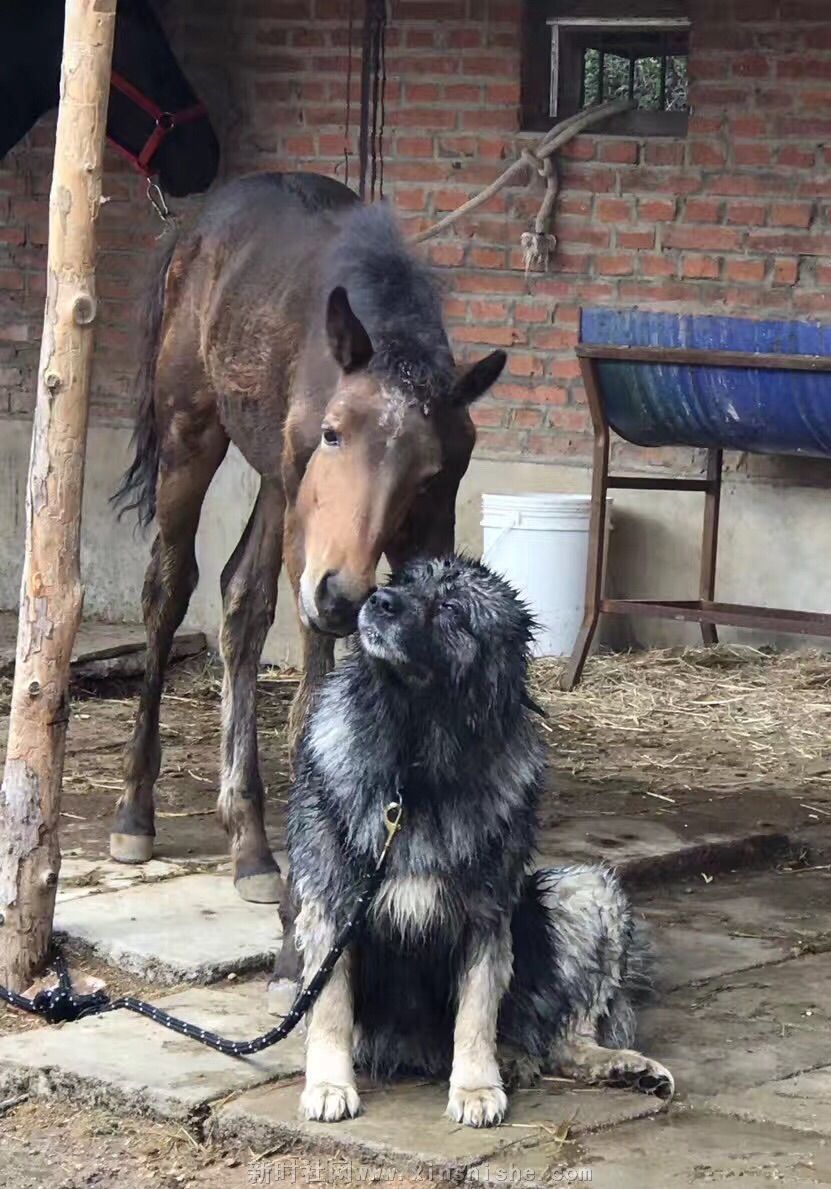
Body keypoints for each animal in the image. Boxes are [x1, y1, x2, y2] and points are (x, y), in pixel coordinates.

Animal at [111, 171, 506, 907]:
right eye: (332, 433)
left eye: (428, 471)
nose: (341, 596)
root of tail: (194, 224)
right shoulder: (310, 535)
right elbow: (307, 703)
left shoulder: (425, 527)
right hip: (192, 435)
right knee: (168, 590)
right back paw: (135, 811)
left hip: (275, 478)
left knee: (242, 597)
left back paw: (249, 839)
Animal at [280, 555, 673, 1126]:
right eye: (402, 582)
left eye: (450, 608)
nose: (377, 600)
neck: (415, 767)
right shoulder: (333, 906)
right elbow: (330, 1007)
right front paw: (330, 1085)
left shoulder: (487, 916)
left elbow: (476, 1013)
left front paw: (474, 1087)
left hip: (585, 889)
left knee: (566, 1038)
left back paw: (619, 1066)